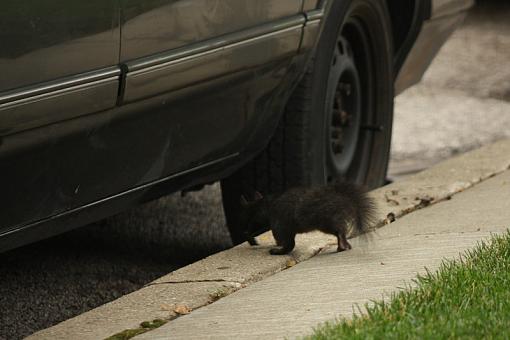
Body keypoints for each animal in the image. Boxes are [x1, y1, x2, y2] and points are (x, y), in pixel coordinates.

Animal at [239, 182, 374, 254]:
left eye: (247, 214)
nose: (245, 225)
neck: (265, 205)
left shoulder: (270, 222)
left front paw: (251, 238)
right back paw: (345, 245)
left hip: (324, 222)